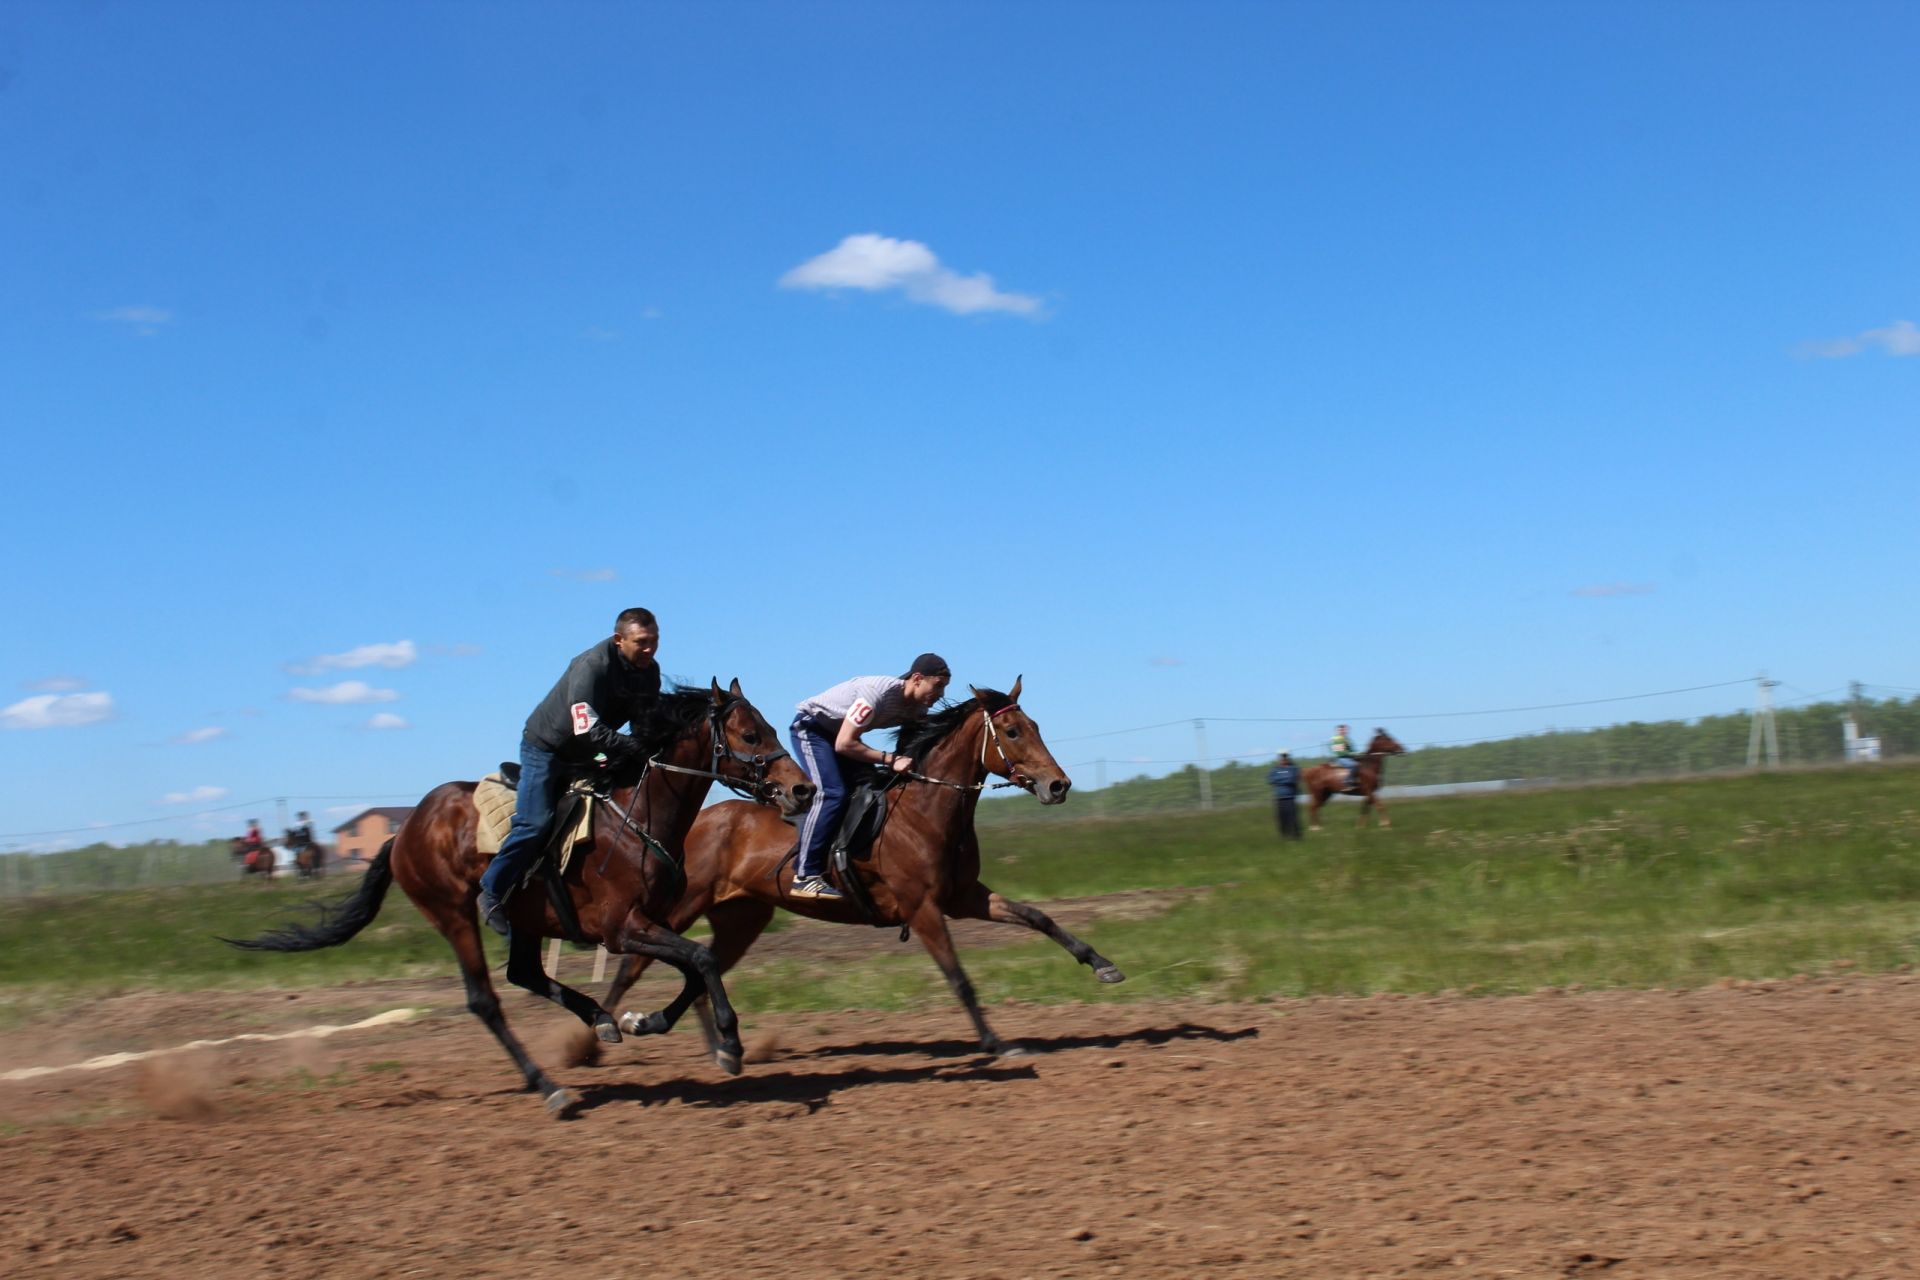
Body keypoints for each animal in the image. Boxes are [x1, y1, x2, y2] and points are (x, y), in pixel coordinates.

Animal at [228, 687, 814, 1113]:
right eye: (749, 733)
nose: (802, 790)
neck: (637, 819)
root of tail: (403, 831)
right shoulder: (621, 927)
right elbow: (701, 960)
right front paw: (730, 1044)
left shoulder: (654, 919)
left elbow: (696, 964)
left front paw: (641, 1022)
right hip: (453, 912)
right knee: (485, 1000)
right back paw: (549, 1085)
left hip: (527, 919)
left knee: (525, 974)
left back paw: (597, 1020)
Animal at [591, 675, 1121, 1066]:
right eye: (1013, 733)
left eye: (1035, 725)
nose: (1059, 785)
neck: (926, 808)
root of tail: (697, 820)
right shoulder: (923, 907)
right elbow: (958, 977)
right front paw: (996, 1042)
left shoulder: (963, 896)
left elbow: (1037, 917)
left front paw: (1102, 964)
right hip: (677, 906)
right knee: (635, 962)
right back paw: (603, 1033)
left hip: (743, 917)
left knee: (704, 968)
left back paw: (704, 1043)